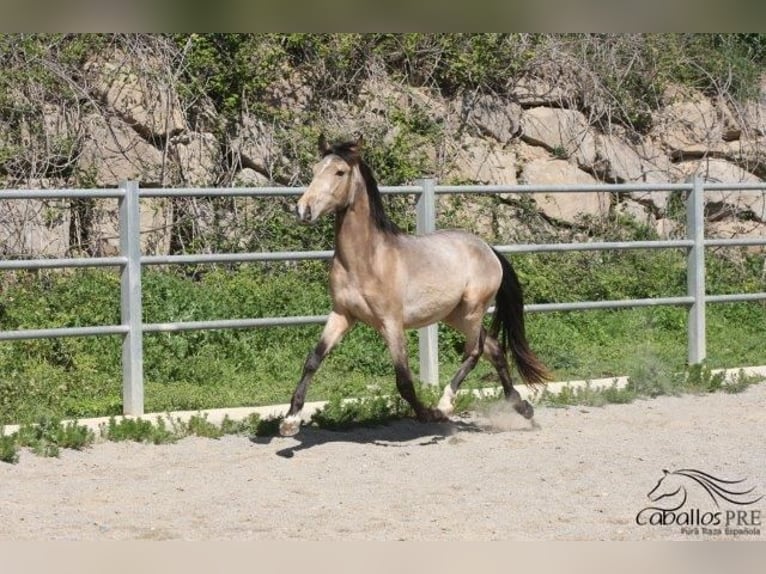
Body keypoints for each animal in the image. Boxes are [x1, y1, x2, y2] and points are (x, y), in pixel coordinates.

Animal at [280, 135, 548, 438]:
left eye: (340, 172)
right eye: (316, 170)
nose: (303, 210)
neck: (366, 261)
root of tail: (489, 249)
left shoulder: (391, 323)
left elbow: (404, 380)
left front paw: (428, 414)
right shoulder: (342, 315)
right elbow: (313, 360)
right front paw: (290, 421)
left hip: (472, 310)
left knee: (475, 351)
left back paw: (445, 405)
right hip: (455, 315)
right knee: (492, 348)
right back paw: (522, 407)